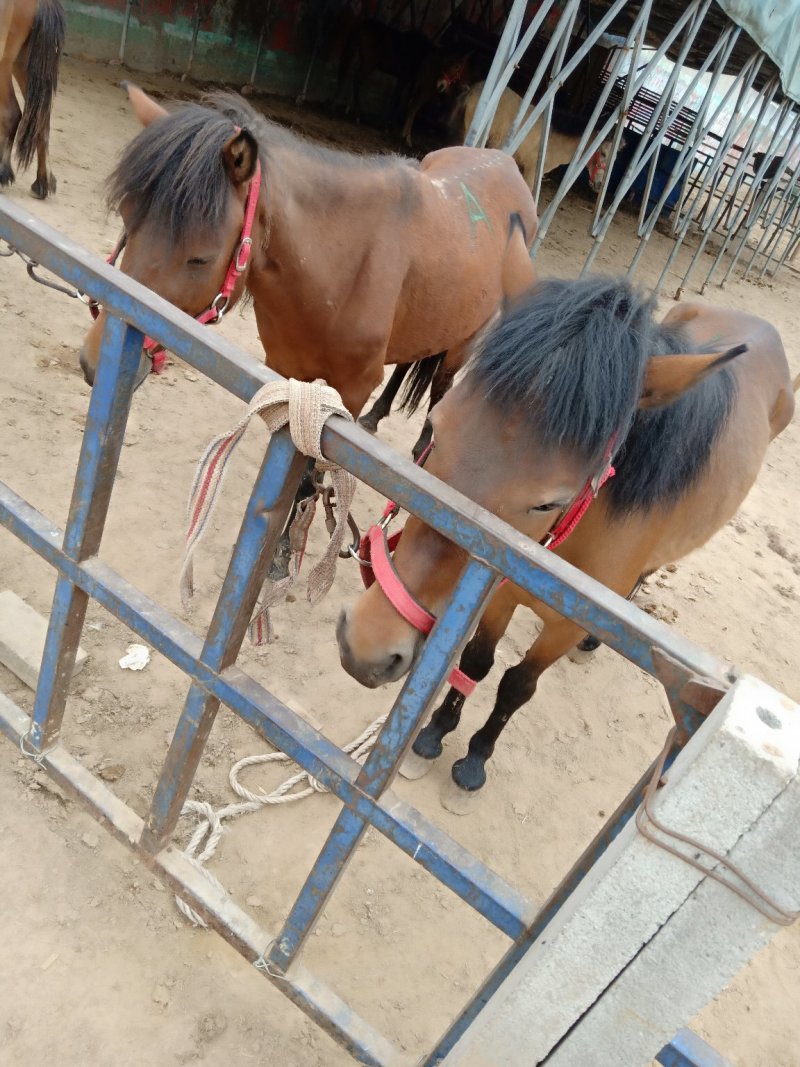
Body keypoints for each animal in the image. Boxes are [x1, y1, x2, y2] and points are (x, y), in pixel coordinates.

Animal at [337, 276, 796, 809]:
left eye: (549, 502)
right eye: (434, 427)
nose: (367, 646)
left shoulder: (561, 629)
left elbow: (517, 685)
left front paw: (473, 761)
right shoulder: (500, 587)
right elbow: (477, 660)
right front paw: (434, 733)